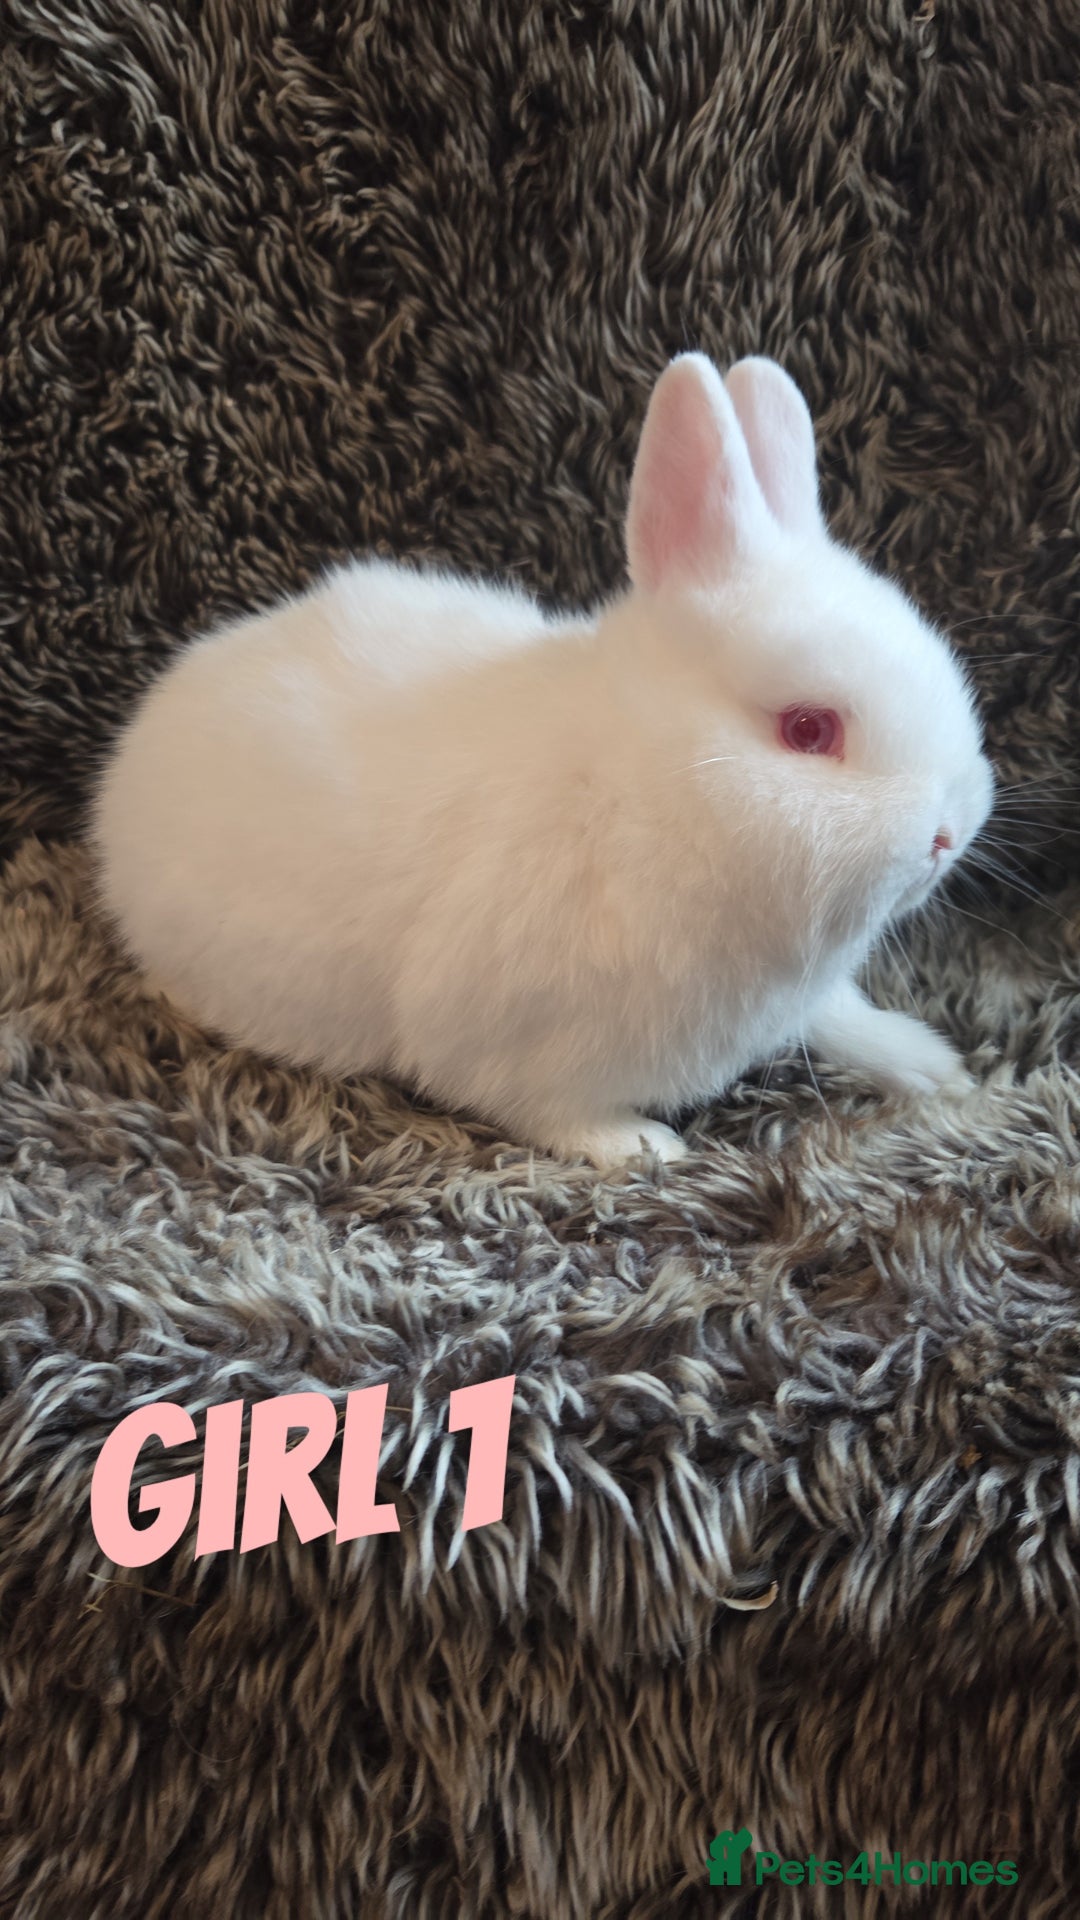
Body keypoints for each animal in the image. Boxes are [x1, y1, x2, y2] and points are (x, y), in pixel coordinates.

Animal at [93, 352, 994, 1169]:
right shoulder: (511, 1043)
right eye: (809, 730)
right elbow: (545, 1110)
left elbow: (843, 1018)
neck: (643, 789)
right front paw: (643, 1147)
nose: (949, 835)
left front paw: (935, 1069)